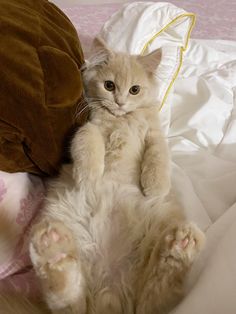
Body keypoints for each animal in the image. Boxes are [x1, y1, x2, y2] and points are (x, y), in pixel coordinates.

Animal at [1, 37, 205, 314]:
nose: (119, 101)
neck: (122, 120)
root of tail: (109, 297)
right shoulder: (89, 127)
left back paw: (182, 244)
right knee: (68, 299)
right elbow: (88, 143)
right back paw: (52, 246)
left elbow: (158, 157)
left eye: (134, 90)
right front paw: (89, 177)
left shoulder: (153, 136)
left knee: (157, 294)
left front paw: (154, 188)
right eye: (109, 85)